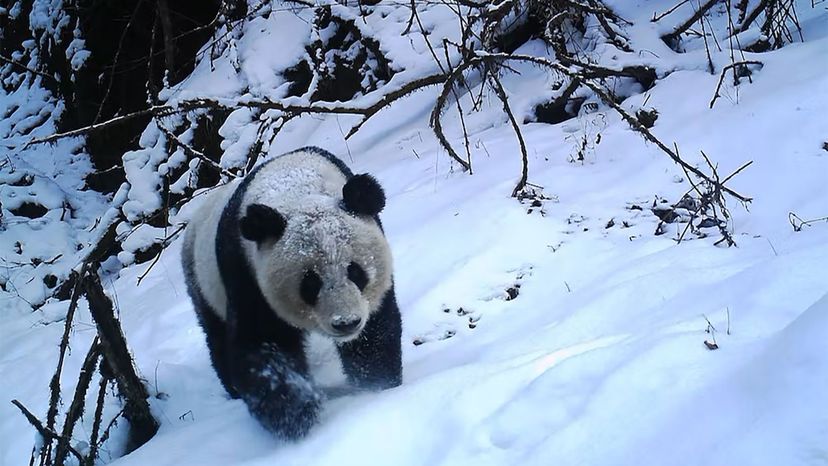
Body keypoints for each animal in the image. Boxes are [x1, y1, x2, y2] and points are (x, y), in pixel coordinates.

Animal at [181, 147, 404, 440]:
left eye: (356, 272)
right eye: (310, 283)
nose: (346, 323)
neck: (294, 184)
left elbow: (374, 332)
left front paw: (376, 384)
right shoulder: (245, 272)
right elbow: (261, 344)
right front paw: (295, 413)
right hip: (201, 283)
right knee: (215, 336)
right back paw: (233, 390)